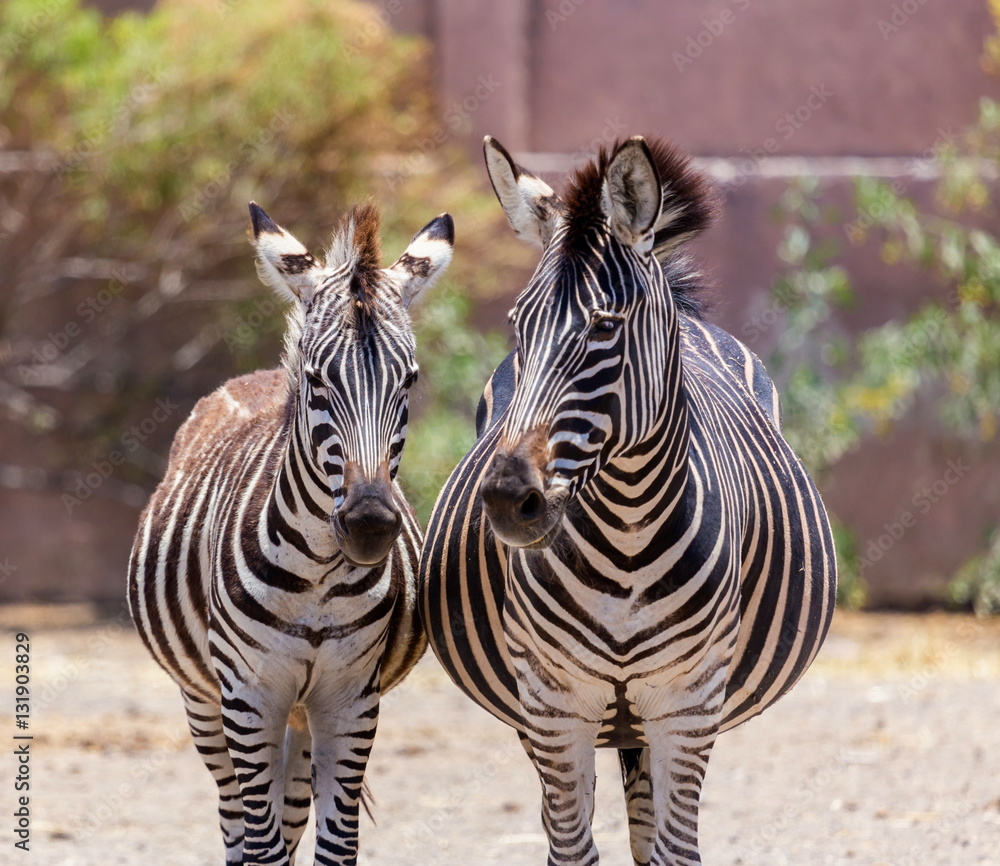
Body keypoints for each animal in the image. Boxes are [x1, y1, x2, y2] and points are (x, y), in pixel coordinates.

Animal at [128, 200, 453, 865]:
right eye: (318, 380)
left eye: (409, 381)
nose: (370, 524)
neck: (319, 578)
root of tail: (256, 375)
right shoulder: (249, 699)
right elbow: (262, 845)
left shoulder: (350, 701)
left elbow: (334, 845)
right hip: (206, 704)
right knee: (235, 822)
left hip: (300, 718)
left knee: (292, 814)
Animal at [419, 135, 837, 865]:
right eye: (517, 326)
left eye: (605, 326)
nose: (507, 500)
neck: (627, 535)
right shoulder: (553, 704)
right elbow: (571, 847)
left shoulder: (687, 703)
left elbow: (673, 850)